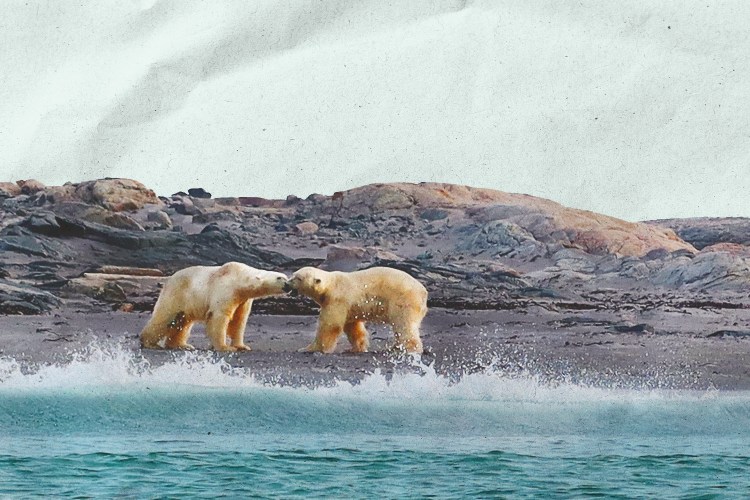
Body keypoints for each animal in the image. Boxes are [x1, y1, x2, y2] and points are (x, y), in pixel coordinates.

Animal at [141, 262, 288, 352]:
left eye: (286, 276)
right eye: (280, 278)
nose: (289, 285)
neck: (238, 277)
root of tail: (168, 280)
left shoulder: (243, 300)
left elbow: (239, 320)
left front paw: (242, 346)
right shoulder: (225, 289)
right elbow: (219, 317)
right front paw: (225, 347)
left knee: (182, 323)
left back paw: (182, 345)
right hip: (177, 295)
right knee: (165, 317)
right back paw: (150, 343)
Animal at [284, 268, 428, 354]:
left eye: (298, 278)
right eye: (293, 275)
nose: (286, 284)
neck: (330, 286)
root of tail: (423, 292)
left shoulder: (337, 299)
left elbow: (330, 326)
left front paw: (309, 349)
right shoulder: (348, 306)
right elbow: (353, 327)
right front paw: (355, 348)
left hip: (403, 299)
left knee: (403, 324)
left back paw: (409, 348)